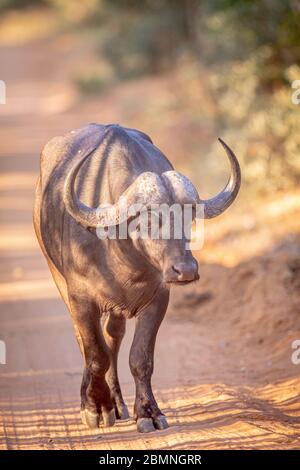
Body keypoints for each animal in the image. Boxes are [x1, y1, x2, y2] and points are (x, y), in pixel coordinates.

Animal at [33, 124, 239, 434]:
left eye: (189, 217)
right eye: (149, 219)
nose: (186, 270)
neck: (121, 253)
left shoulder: (158, 299)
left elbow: (140, 358)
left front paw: (148, 413)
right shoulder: (81, 299)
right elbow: (96, 355)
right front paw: (96, 408)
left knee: (113, 338)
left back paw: (118, 404)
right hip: (57, 277)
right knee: (86, 342)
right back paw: (94, 401)